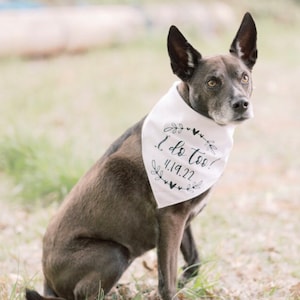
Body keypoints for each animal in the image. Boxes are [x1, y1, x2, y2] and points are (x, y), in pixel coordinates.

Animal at [25, 12, 256, 300]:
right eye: (212, 82)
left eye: (244, 77)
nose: (241, 104)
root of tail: (47, 279)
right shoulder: (170, 220)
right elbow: (166, 280)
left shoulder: (182, 220)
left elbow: (192, 264)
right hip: (114, 252)